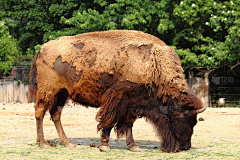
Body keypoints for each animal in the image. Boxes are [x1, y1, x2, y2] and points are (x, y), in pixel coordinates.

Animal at [29, 29, 206, 152]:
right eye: (187, 120)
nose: (185, 146)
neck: (153, 65)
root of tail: (42, 49)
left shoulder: (131, 104)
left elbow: (128, 124)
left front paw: (133, 146)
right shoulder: (117, 99)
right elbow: (109, 120)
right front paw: (104, 145)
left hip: (62, 94)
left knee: (55, 114)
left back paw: (67, 143)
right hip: (47, 91)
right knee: (40, 112)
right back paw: (43, 143)